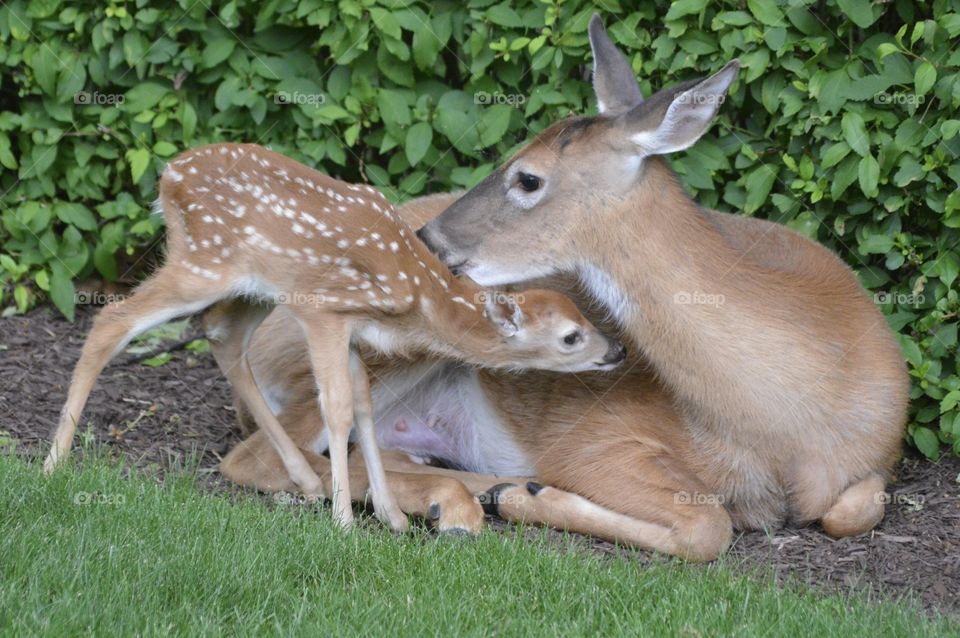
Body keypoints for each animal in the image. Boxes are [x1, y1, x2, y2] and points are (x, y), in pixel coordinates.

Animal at [45, 144, 628, 528]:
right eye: (572, 337)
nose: (618, 350)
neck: (417, 298)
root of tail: (168, 176)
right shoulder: (324, 311)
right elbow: (339, 409)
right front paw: (346, 523)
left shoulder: (352, 326)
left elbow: (364, 406)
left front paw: (391, 518)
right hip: (205, 262)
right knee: (113, 319)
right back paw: (54, 464)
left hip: (253, 287)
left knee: (220, 335)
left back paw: (304, 481)